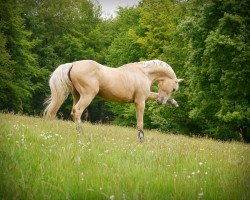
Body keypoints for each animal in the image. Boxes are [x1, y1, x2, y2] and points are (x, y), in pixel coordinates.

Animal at [44, 59, 183, 141]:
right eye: (174, 88)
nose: (160, 102)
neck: (143, 73)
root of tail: (73, 64)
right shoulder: (140, 101)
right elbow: (140, 122)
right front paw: (141, 139)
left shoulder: (145, 95)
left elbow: (153, 95)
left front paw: (174, 103)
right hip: (88, 95)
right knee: (77, 111)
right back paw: (83, 135)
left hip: (77, 95)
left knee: (73, 112)